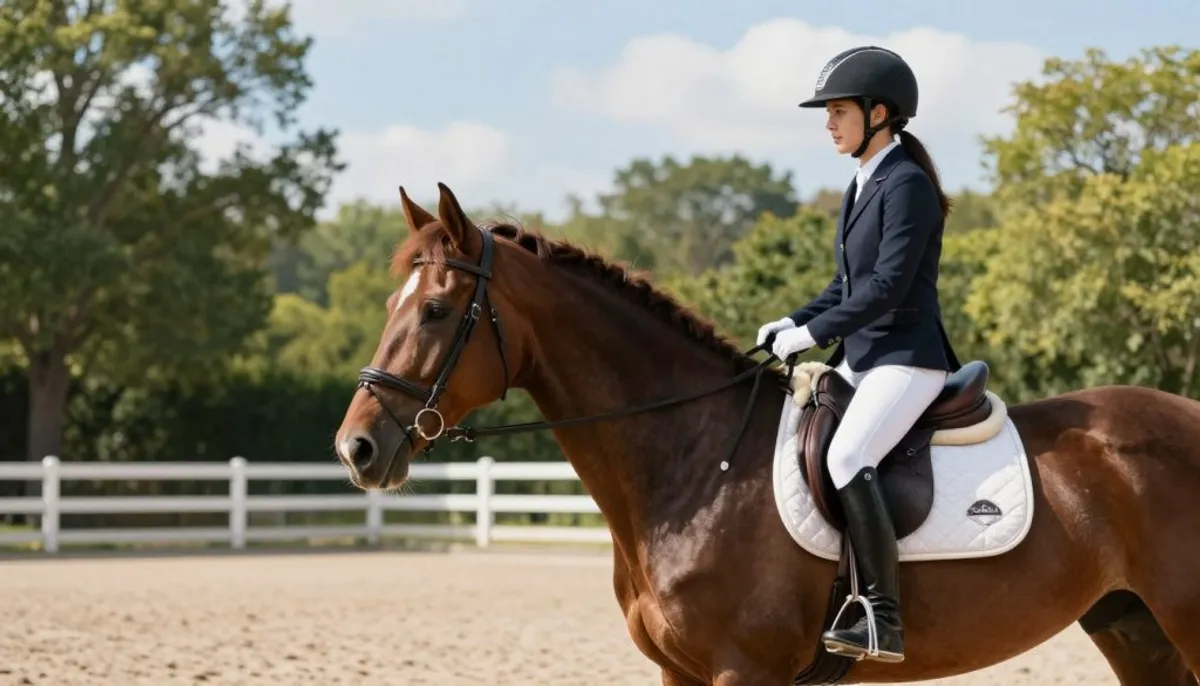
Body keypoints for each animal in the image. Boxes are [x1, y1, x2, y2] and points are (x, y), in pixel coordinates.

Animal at [333, 182, 1200, 685]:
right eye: (393, 305)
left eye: (435, 311)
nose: (357, 449)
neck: (695, 464)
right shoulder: (681, 674)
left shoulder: (742, 670)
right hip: (1134, 628)